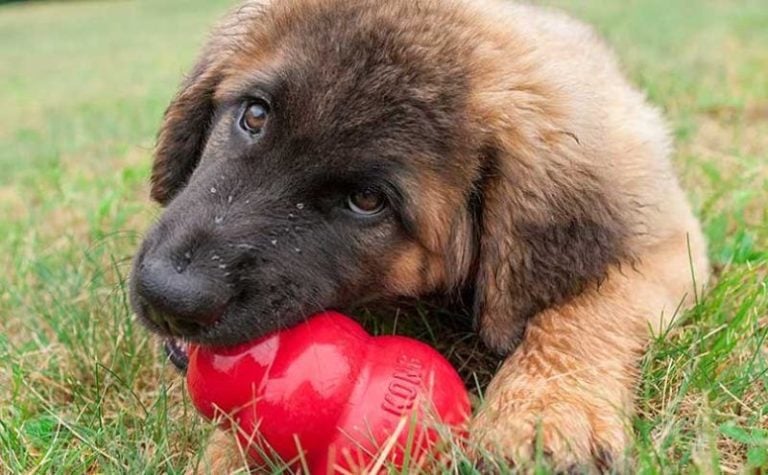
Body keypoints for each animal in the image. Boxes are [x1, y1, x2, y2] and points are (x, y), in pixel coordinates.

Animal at [130, 0, 708, 470]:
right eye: (254, 115)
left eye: (368, 201)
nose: (168, 296)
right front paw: (229, 453)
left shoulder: (670, 243)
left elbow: (590, 307)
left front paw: (549, 408)